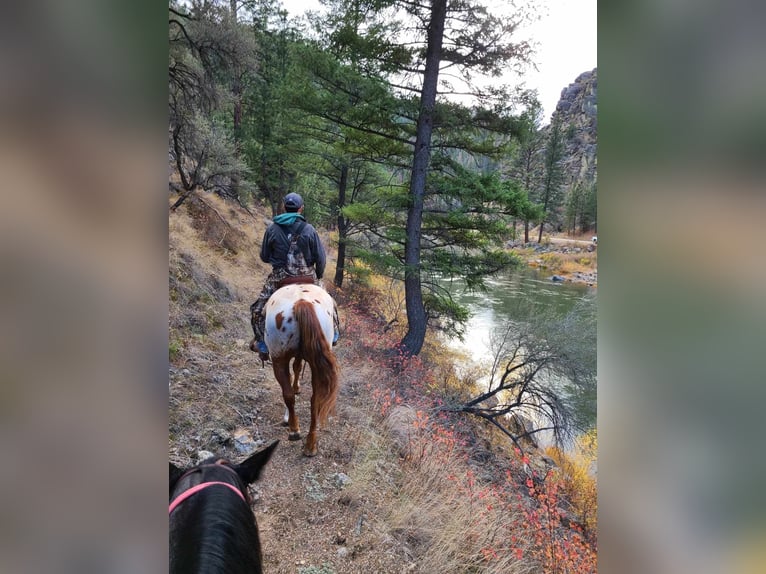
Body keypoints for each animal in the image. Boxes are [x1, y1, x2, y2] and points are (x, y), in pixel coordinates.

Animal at [260, 284, 340, 460]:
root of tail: (302, 302)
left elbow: (295, 370)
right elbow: (297, 367)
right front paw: (297, 388)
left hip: (278, 359)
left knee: (288, 394)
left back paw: (294, 430)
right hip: (315, 365)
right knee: (315, 400)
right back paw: (310, 446)